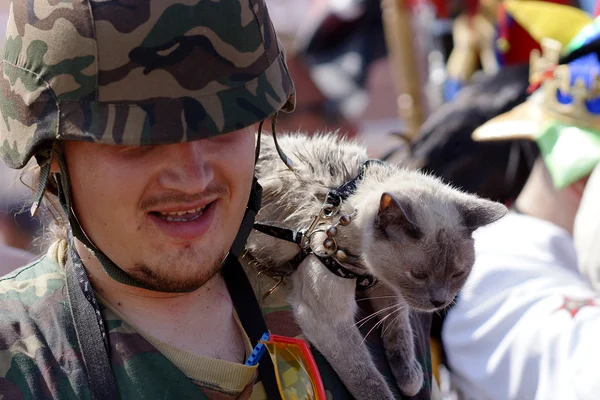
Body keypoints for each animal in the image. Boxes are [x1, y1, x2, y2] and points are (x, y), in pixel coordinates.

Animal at [248, 133, 506, 398]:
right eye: (418, 275)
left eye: (458, 274)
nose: (439, 302)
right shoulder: (329, 319)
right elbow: (369, 382)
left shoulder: (387, 286)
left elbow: (400, 330)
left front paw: (409, 378)